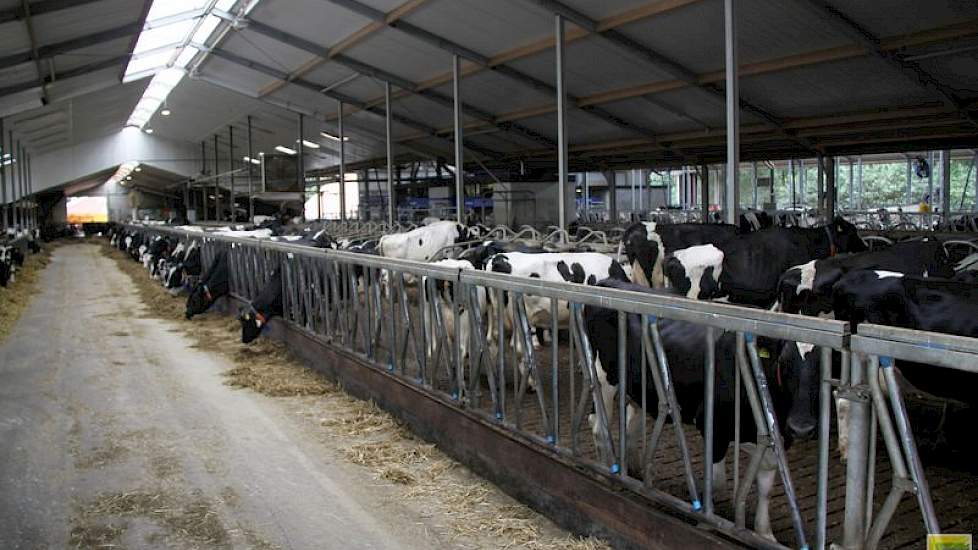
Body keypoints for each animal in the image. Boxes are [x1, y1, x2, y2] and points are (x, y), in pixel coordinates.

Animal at [588, 280, 816, 544]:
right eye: (784, 363)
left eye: (822, 368)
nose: (802, 427)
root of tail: (611, 282)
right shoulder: (712, 425)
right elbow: (717, 483)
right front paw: (707, 522)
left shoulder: (773, 435)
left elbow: (766, 485)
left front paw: (764, 533)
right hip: (604, 378)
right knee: (599, 427)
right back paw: (605, 474)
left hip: (639, 390)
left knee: (630, 425)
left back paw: (635, 470)